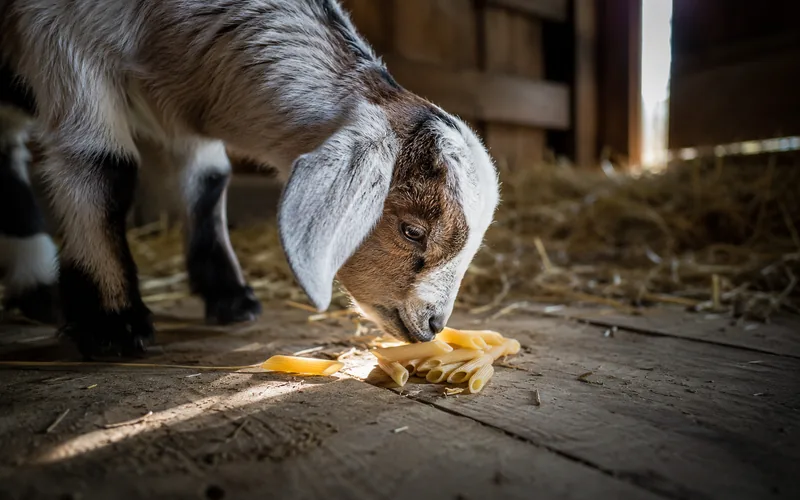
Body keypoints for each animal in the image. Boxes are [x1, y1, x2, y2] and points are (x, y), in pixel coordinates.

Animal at [0, 0, 500, 358]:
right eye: (412, 231)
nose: (433, 325)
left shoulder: (186, 94)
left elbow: (208, 180)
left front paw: (230, 296)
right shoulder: (61, 36)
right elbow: (104, 164)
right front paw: (115, 322)